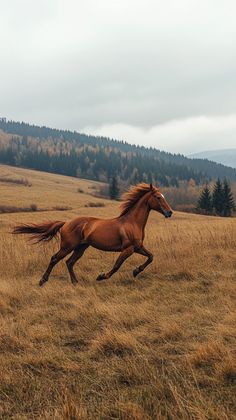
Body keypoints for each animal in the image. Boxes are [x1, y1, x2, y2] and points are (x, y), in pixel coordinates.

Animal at [13, 184, 171, 286]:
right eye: (158, 197)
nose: (169, 212)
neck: (132, 223)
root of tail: (65, 223)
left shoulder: (137, 247)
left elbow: (151, 257)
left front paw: (136, 271)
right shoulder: (128, 249)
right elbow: (116, 266)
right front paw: (101, 276)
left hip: (81, 247)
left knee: (69, 262)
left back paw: (75, 282)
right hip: (67, 247)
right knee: (55, 259)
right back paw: (42, 281)